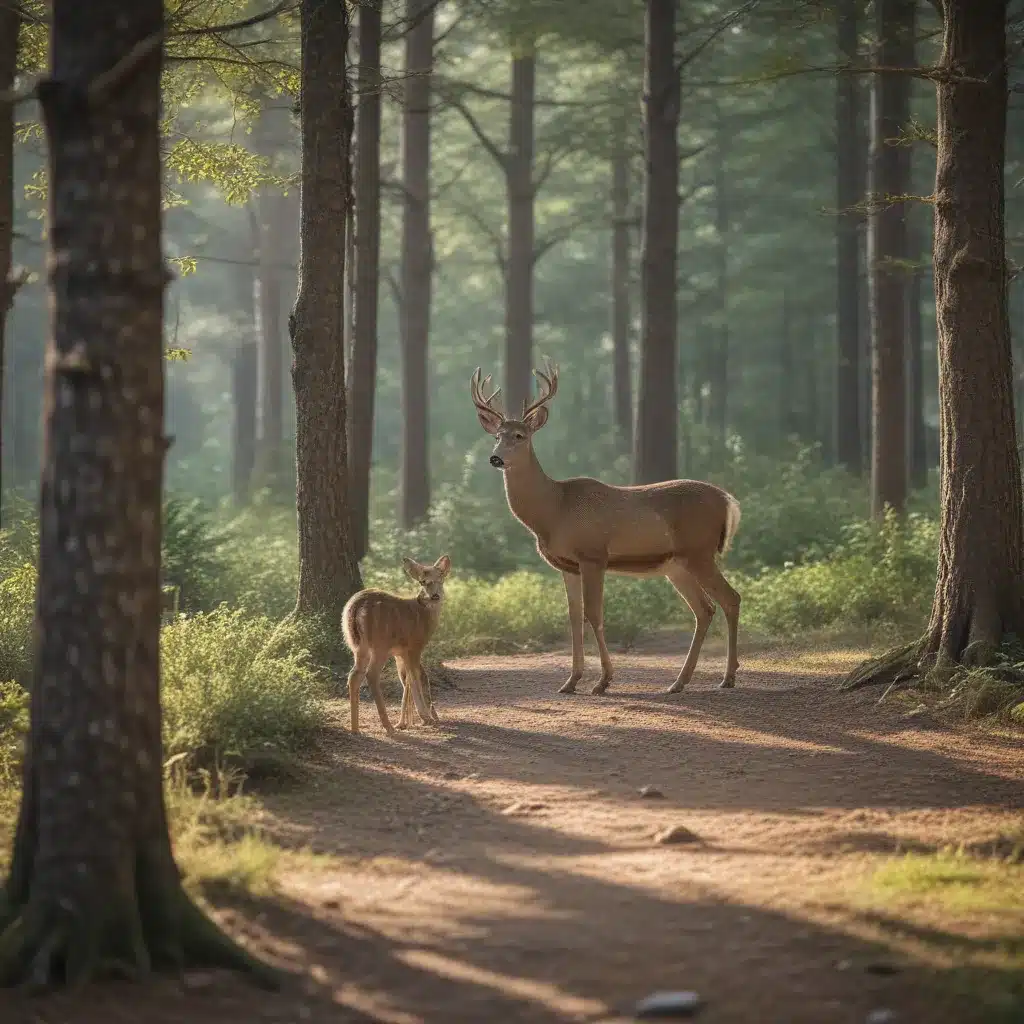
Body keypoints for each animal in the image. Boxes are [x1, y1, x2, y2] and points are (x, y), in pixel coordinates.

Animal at [342, 552, 450, 737]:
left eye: (440, 578)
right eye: (422, 581)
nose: (434, 596)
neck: (424, 616)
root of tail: (357, 606)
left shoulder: (401, 652)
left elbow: (407, 680)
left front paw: (409, 722)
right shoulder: (415, 645)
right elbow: (415, 677)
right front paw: (424, 718)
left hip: (357, 645)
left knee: (354, 675)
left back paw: (355, 729)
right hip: (380, 644)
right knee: (371, 674)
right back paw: (388, 726)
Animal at [468, 362, 741, 696]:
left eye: (519, 435)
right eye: (497, 435)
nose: (496, 458)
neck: (554, 511)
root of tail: (728, 500)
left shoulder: (593, 555)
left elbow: (594, 615)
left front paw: (603, 681)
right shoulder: (567, 565)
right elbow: (574, 618)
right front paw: (570, 681)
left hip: (700, 551)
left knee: (731, 599)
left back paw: (727, 677)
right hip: (676, 564)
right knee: (704, 609)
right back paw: (678, 682)